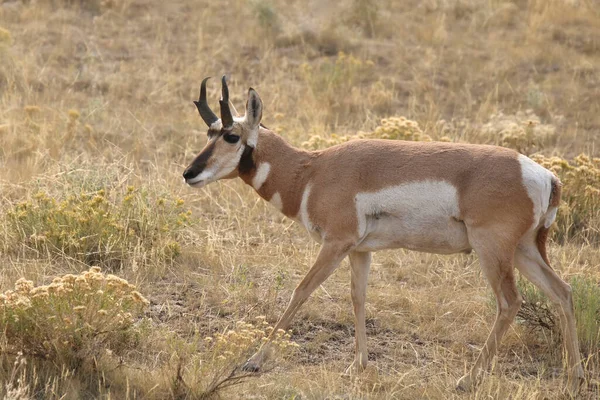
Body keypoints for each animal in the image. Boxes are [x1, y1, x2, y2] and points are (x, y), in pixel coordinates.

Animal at [185, 76, 584, 394]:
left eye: (231, 135)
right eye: (208, 133)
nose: (189, 173)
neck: (312, 169)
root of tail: (545, 175)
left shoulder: (335, 244)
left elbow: (301, 291)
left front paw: (254, 360)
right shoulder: (360, 251)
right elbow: (358, 298)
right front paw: (358, 364)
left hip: (493, 251)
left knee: (510, 302)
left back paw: (467, 380)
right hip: (524, 251)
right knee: (563, 292)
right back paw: (574, 378)